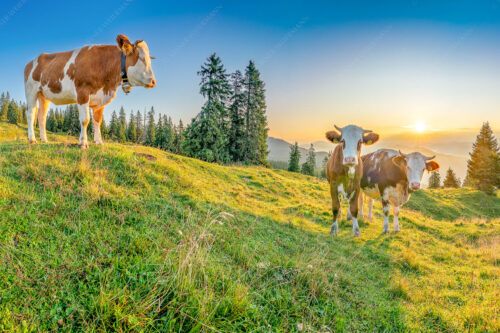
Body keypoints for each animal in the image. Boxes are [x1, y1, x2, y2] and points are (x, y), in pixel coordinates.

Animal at [23, 34, 156, 147]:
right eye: (141, 58)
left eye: (149, 59)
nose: (153, 81)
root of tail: (32, 61)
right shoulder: (82, 93)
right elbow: (85, 120)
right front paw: (83, 143)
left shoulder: (100, 100)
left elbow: (97, 121)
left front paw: (99, 141)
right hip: (31, 91)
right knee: (30, 113)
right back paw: (32, 139)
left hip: (44, 95)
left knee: (42, 116)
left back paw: (44, 139)